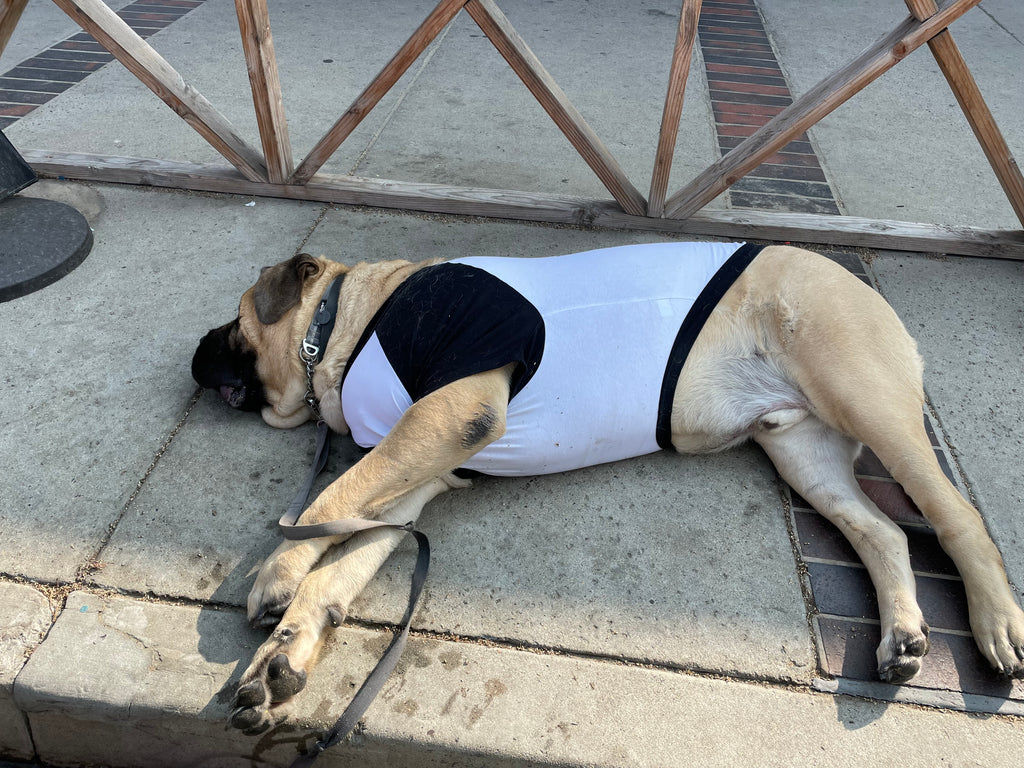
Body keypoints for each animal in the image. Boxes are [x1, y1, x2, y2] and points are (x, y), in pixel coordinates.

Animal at [192, 240, 1024, 733]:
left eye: (234, 322)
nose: (194, 352)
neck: (347, 324)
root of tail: (844, 271)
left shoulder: (448, 413)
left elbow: (328, 500)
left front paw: (277, 567)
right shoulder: (411, 481)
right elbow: (342, 562)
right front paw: (288, 649)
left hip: (861, 394)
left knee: (958, 517)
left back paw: (996, 623)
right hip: (803, 450)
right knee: (883, 530)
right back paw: (905, 634)